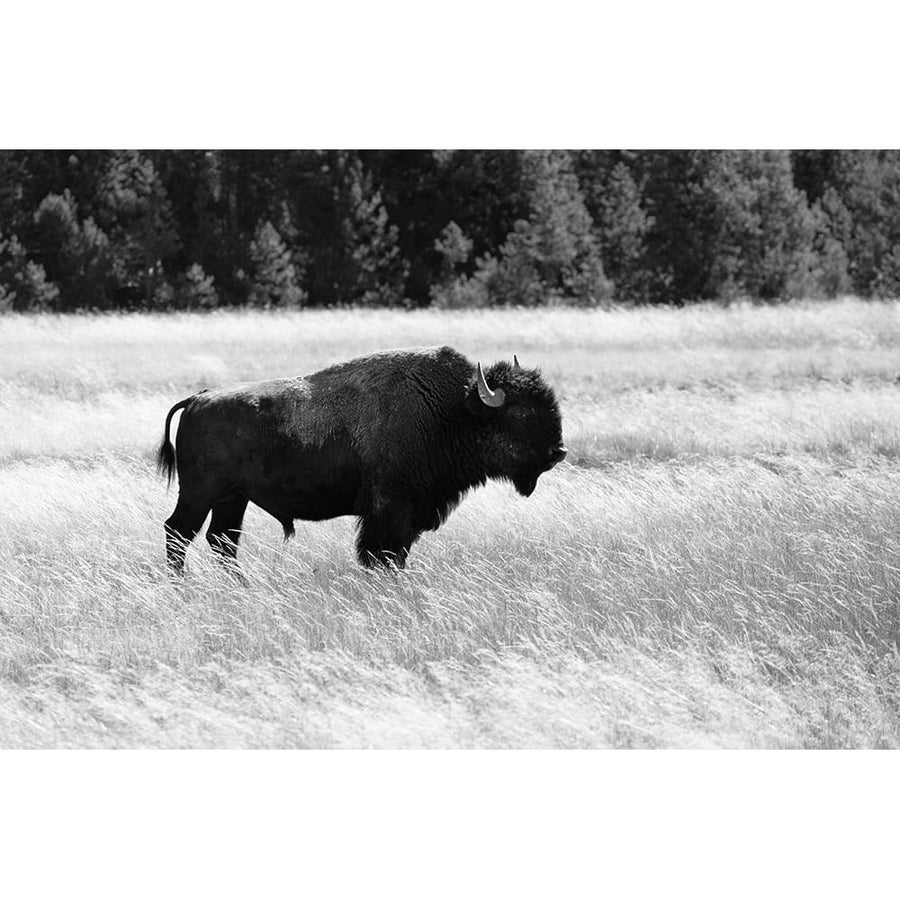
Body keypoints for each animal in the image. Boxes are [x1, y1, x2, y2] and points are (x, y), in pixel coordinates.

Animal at [155, 344, 564, 568]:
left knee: (222, 542)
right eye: (520, 413)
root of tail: (198, 399)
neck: (451, 410)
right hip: (199, 493)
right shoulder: (390, 510)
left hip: (233, 498)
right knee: (178, 532)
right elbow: (383, 554)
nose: (558, 451)